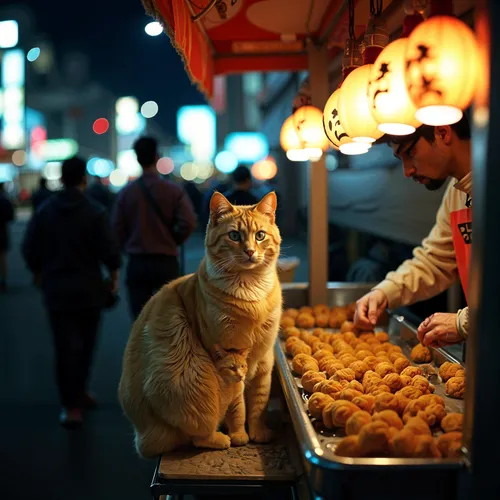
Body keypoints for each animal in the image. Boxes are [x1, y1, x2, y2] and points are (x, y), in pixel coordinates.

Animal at [117, 190, 282, 458]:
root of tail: (142, 436)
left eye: (260, 236)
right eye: (234, 236)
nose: (249, 251)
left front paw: (259, 432)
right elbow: (238, 406)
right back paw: (220, 438)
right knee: (196, 436)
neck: (251, 292)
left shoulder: (265, 360)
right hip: (198, 388)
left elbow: (259, 402)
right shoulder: (230, 358)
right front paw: (240, 434)